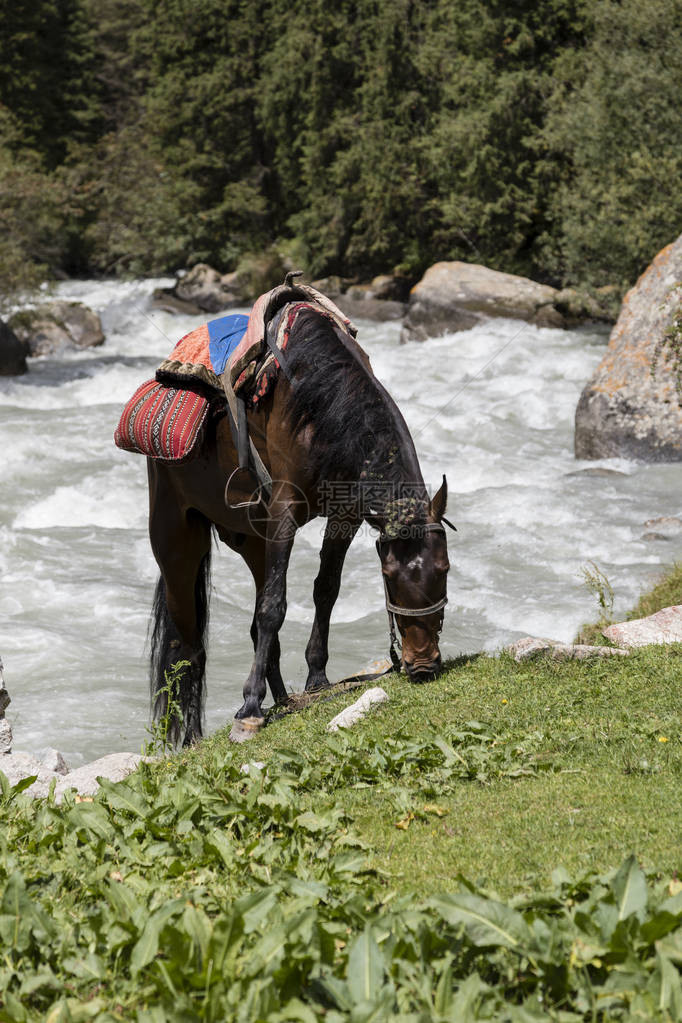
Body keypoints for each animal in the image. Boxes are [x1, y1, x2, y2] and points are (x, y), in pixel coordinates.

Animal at [147, 302, 449, 744]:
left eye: (444, 569)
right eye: (389, 575)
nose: (424, 664)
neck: (322, 406)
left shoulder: (344, 515)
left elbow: (325, 590)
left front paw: (317, 679)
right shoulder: (285, 510)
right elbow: (275, 607)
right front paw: (249, 710)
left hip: (252, 541)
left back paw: (283, 698)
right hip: (176, 543)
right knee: (185, 650)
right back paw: (191, 738)